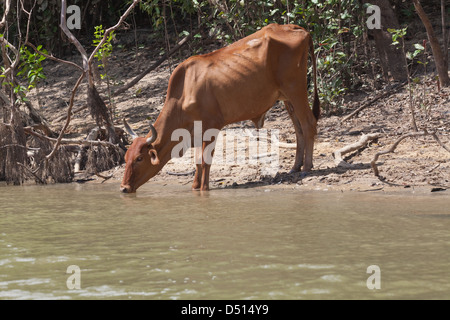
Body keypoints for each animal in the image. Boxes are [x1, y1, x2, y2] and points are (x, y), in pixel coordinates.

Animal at [120, 23, 320, 194]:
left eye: (139, 158)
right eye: (126, 157)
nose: (123, 188)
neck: (184, 92)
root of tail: (298, 28)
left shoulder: (212, 126)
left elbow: (205, 161)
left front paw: (203, 189)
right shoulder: (196, 133)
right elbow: (197, 162)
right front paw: (195, 187)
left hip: (296, 88)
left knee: (309, 122)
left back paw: (307, 167)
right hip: (286, 97)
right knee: (298, 129)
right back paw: (295, 166)